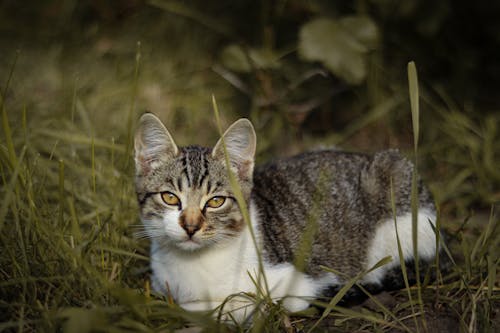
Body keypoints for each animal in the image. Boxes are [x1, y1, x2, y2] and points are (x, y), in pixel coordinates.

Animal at [134, 112, 442, 322]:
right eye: (170, 198)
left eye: (216, 201)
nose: (190, 226)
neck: (193, 264)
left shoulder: (294, 281)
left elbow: (239, 304)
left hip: (396, 182)